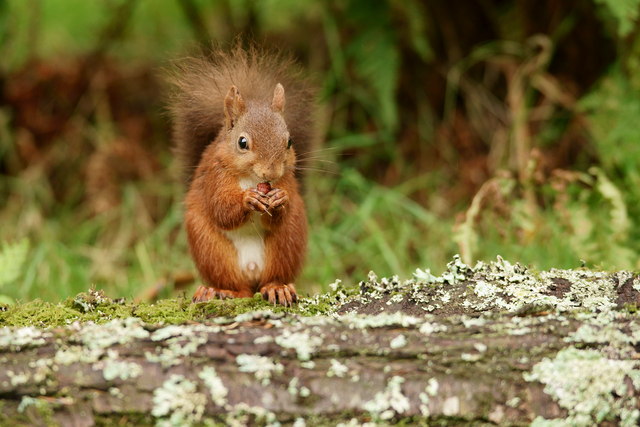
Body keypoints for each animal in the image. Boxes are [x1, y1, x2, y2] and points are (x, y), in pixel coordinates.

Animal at [168, 46, 312, 306]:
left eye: (289, 141)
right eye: (242, 143)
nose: (271, 172)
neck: (252, 180)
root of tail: (252, 272)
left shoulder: (286, 180)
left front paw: (281, 199)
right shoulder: (215, 177)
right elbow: (221, 210)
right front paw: (248, 199)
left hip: (288, 240)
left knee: (270, 278)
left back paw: (278, 288)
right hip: (210, 249)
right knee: (238, 287)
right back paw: (217, 291)